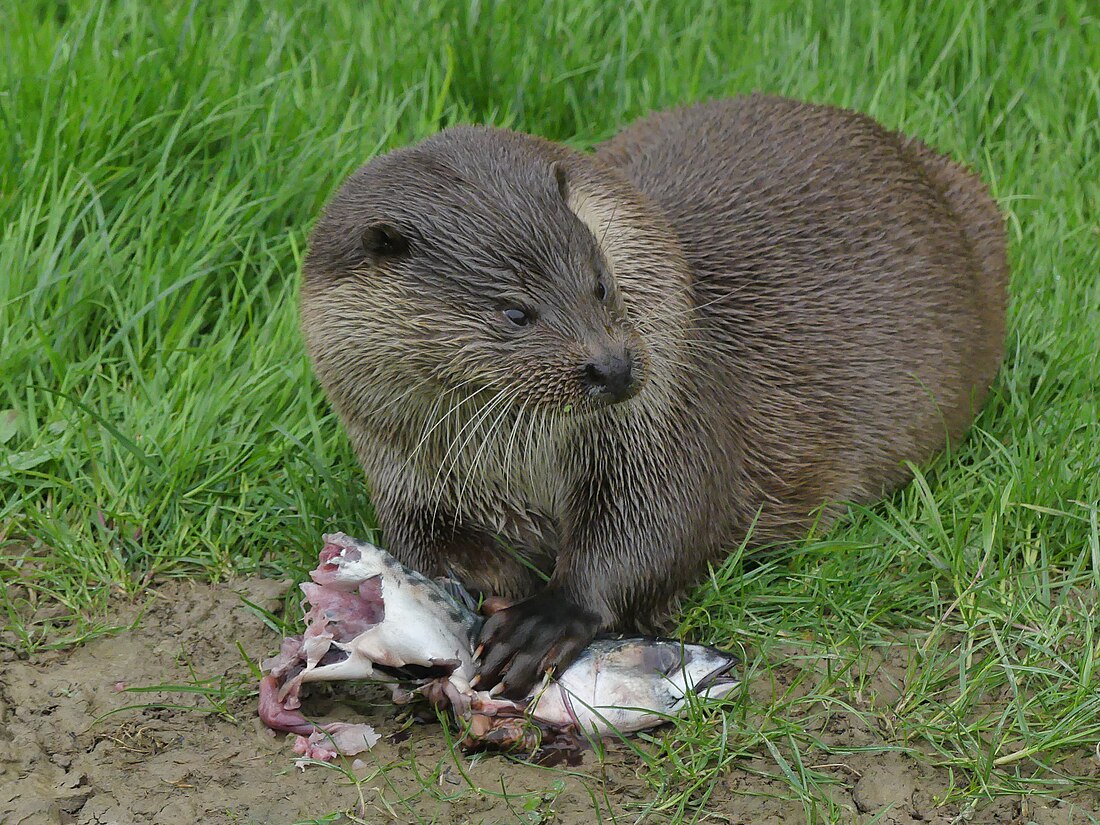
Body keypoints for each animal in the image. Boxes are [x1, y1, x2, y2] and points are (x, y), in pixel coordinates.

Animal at [299, 93, 1007, 699]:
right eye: (514, 312)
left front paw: (544, 620)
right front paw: (470, 597)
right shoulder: (401, 467)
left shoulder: (667, 419)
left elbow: (658, 524)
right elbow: (427, 546)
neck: (518, 468)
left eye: (600, 283)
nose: (612, 367)